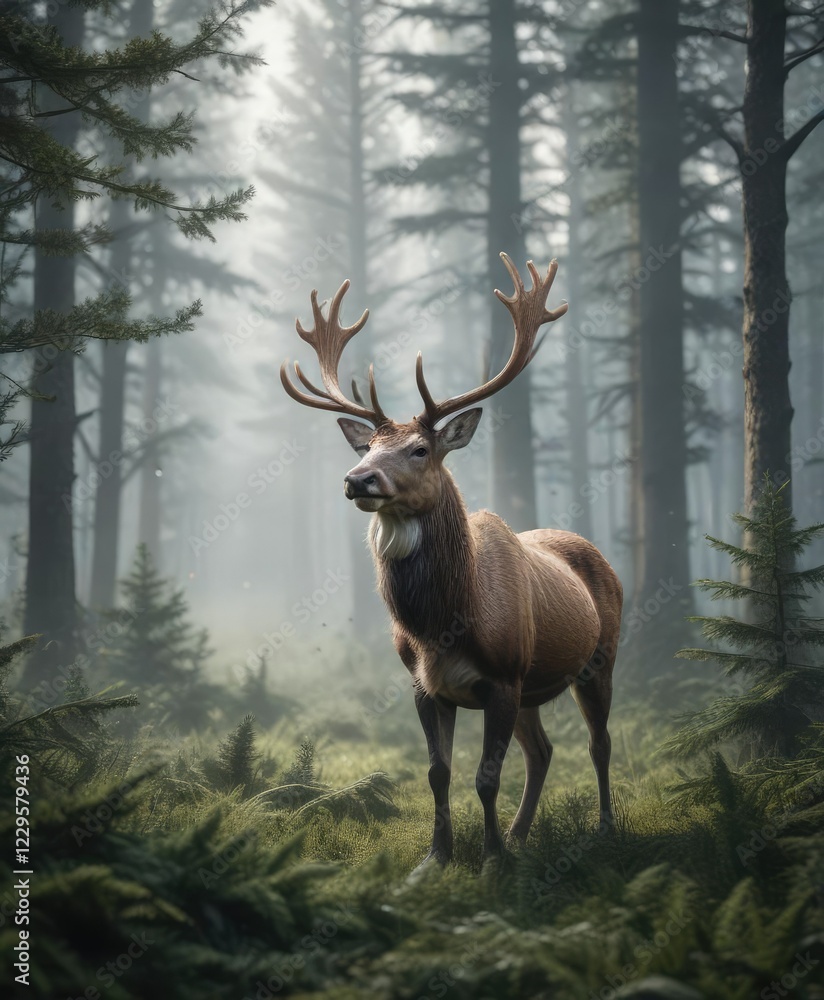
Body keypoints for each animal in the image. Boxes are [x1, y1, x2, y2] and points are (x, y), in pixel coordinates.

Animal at [281, 254, 623, 865]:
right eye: (369, 447)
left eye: (420, 449)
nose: (357, 479)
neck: (444, 624)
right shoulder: (426, 685)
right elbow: (438, 773)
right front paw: (437, 858)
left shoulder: (504, 676)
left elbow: (486, 777)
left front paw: (489, 860)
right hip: (535, 685)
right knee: (543, 750)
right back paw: (520, 834)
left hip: (599, 657)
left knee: (598, 743)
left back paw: (602, 826)